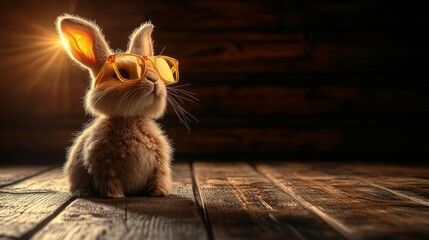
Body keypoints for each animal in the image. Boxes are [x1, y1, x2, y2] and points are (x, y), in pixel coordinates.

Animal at [56, 15, 173, 198]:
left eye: (154, 70)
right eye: (123, 74)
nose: (154, 79)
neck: (130, 120)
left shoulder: (160, 161)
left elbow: (160, 175)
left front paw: (160, 192)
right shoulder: (102, 162)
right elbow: (109, 180)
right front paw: (115, 195)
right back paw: (83, 193)